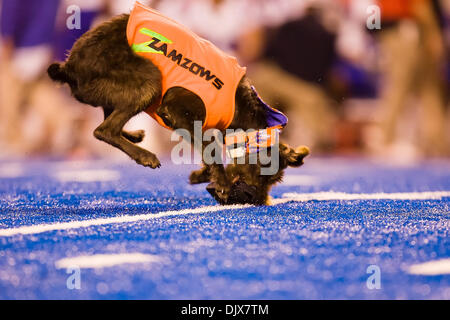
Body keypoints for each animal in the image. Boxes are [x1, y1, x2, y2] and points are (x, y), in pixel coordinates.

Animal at [48, 13, 310, 205]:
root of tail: (68, 67)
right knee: (104, 129)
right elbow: (210, 149)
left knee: (107, 118)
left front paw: (205, 176)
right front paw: (222, 182)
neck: (244, 108)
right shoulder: (177, 112)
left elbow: (209, 149)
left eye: (275, 181)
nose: (256, 199)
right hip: (148, 79)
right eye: (262, 169)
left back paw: (135, 135)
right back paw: (145, 156)